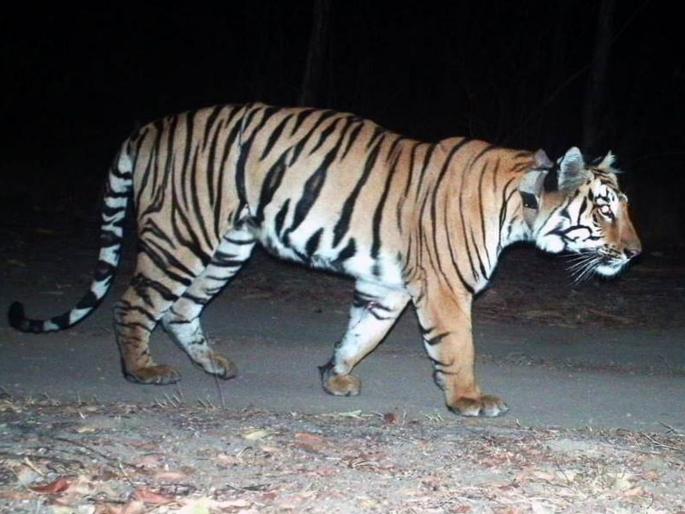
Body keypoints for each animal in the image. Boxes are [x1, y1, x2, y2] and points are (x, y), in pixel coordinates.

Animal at [8, 102, 641, 417]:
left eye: (624, 207)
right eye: (605, 209)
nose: (636, 253)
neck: (519, 208)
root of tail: (152, 127)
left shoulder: (387, 288)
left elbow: (361, 333)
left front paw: (334, 376)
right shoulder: (444, 288)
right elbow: (457, 345)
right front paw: (467, 400)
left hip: (228, 246)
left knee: (181, 309)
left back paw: (215, 366)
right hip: (181, 235)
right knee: (135, 305)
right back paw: (141, 371)